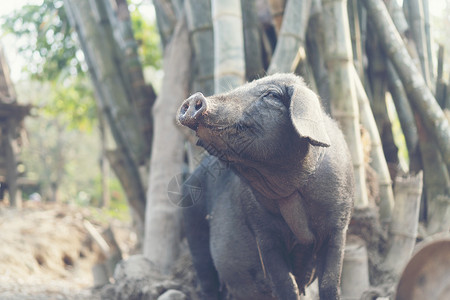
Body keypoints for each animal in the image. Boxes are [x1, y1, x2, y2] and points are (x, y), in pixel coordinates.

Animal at [178, 73, 354, 300]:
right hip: (194, 228)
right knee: (207, 280)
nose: (194, 98)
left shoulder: (339, 224)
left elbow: (330, 283)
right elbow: (285, 285)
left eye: (271, 95)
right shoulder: (263, 231)